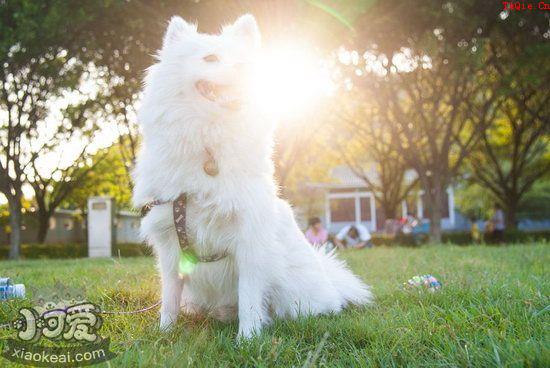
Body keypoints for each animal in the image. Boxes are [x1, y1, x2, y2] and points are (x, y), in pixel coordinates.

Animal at [134, 14, 376, 338]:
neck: (210, 145)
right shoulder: (171, 238)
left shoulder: (249, 235)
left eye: (243, 61)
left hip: (295, 294)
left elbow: (249, 296)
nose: (243, 69)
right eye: (210, 58)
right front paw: (165, 333)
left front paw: (248, 339)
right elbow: (169, 296)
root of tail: (329, 280)